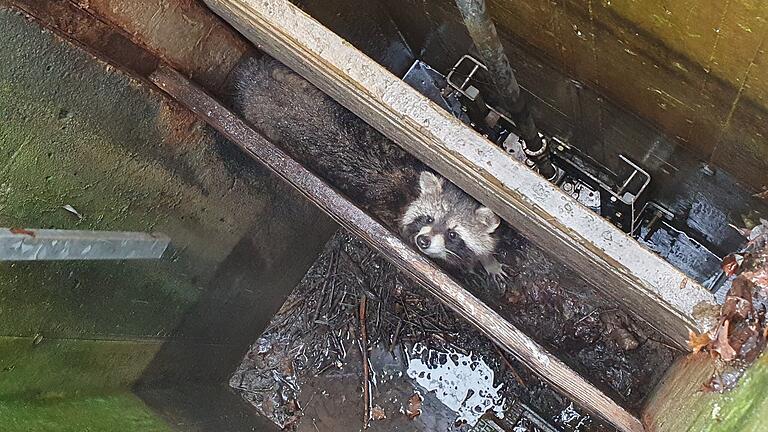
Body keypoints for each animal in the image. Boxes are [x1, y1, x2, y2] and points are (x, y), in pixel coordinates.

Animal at [228, 54, 504, 276]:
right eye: (427, 218)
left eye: (453, 234)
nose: (423, 241)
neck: (409, 193)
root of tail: (255, 80)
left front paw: (487, 261)